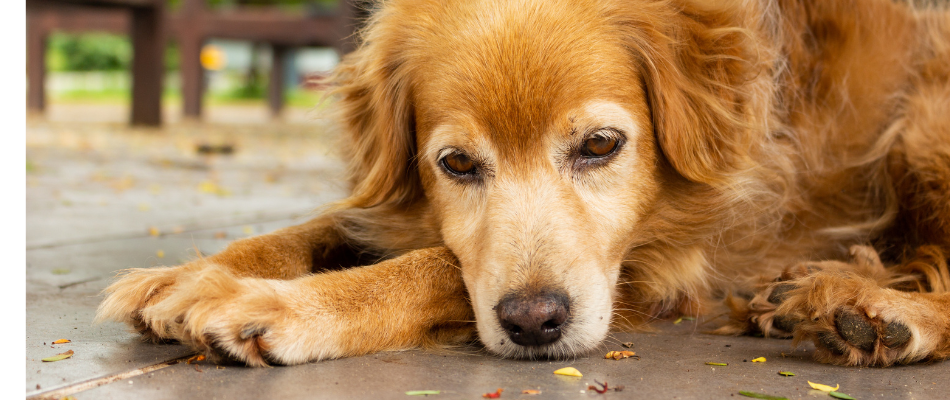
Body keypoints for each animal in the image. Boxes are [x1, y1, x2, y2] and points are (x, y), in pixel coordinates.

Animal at [96, 0, 950, 368]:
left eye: (601, 145)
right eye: (456, 164)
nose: (534, 323)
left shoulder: (667, 261)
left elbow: (433, 266)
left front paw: (273, 306)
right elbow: (330, 225)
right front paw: (190, 274)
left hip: (923, 123)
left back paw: (874, 314)